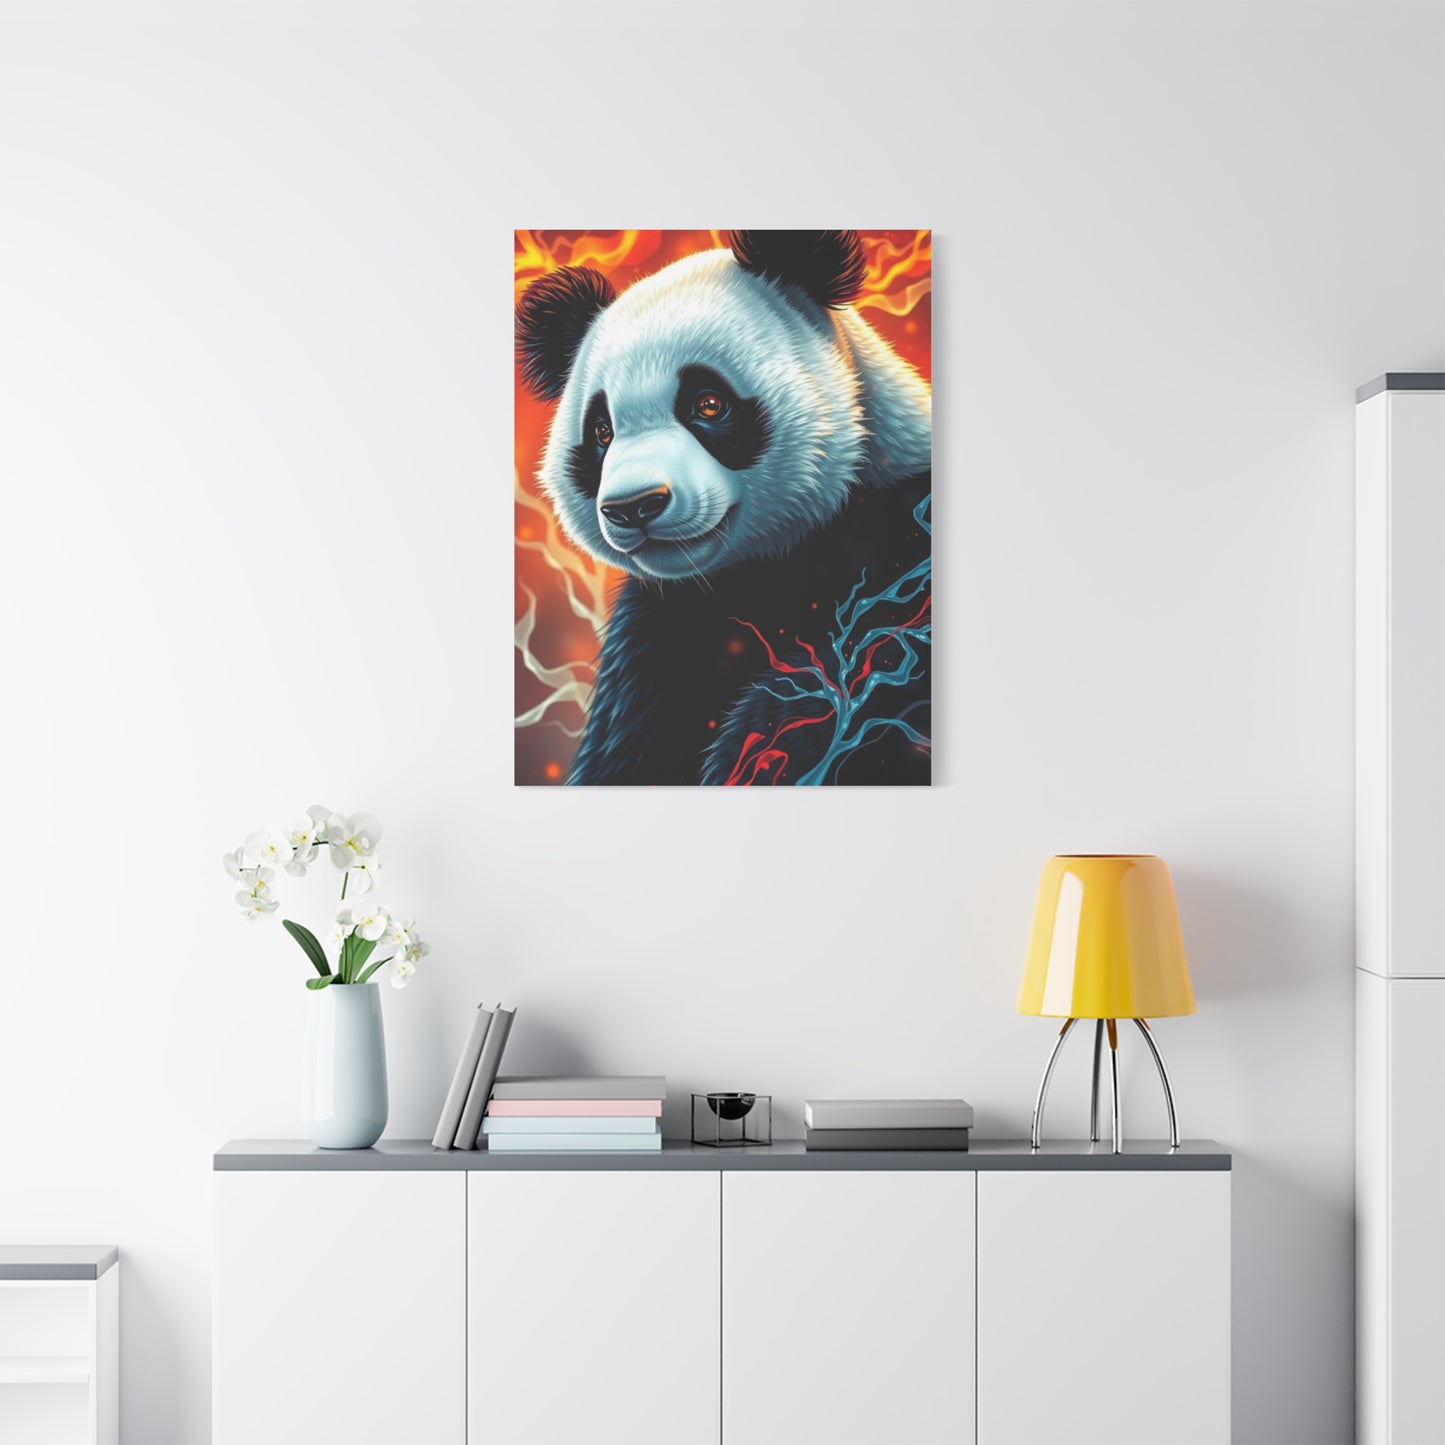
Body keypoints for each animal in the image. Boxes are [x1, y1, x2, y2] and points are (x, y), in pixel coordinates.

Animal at [516, 230, 932, 786]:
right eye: (601, 432)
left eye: (708, 403)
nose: (634, 507)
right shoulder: (657, 634)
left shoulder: (901, 541)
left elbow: (874, 678)